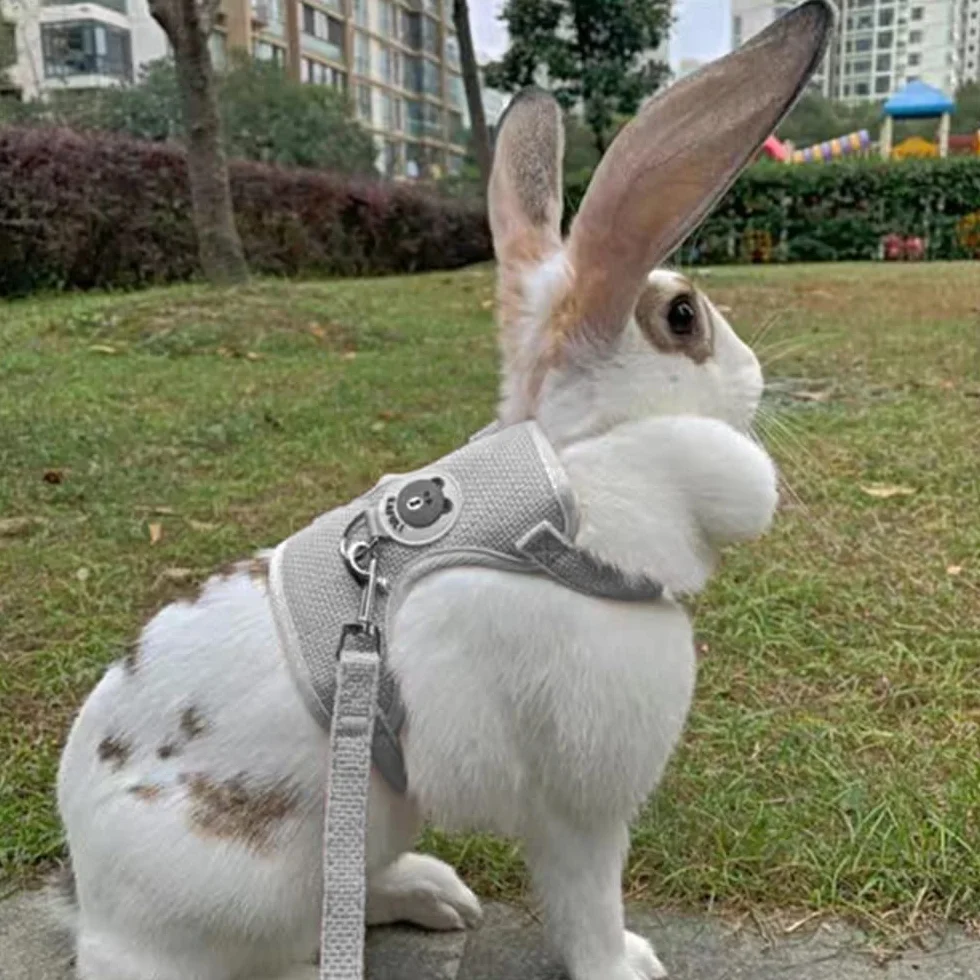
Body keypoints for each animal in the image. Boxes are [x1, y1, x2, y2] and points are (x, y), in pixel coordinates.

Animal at [54, 5, 835, 979]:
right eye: (684, 317)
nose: (757, 377)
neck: (571, 485)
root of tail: (93, 914)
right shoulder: (579, 807)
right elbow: (587, 903)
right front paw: (627, 964)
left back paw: (437, 897)